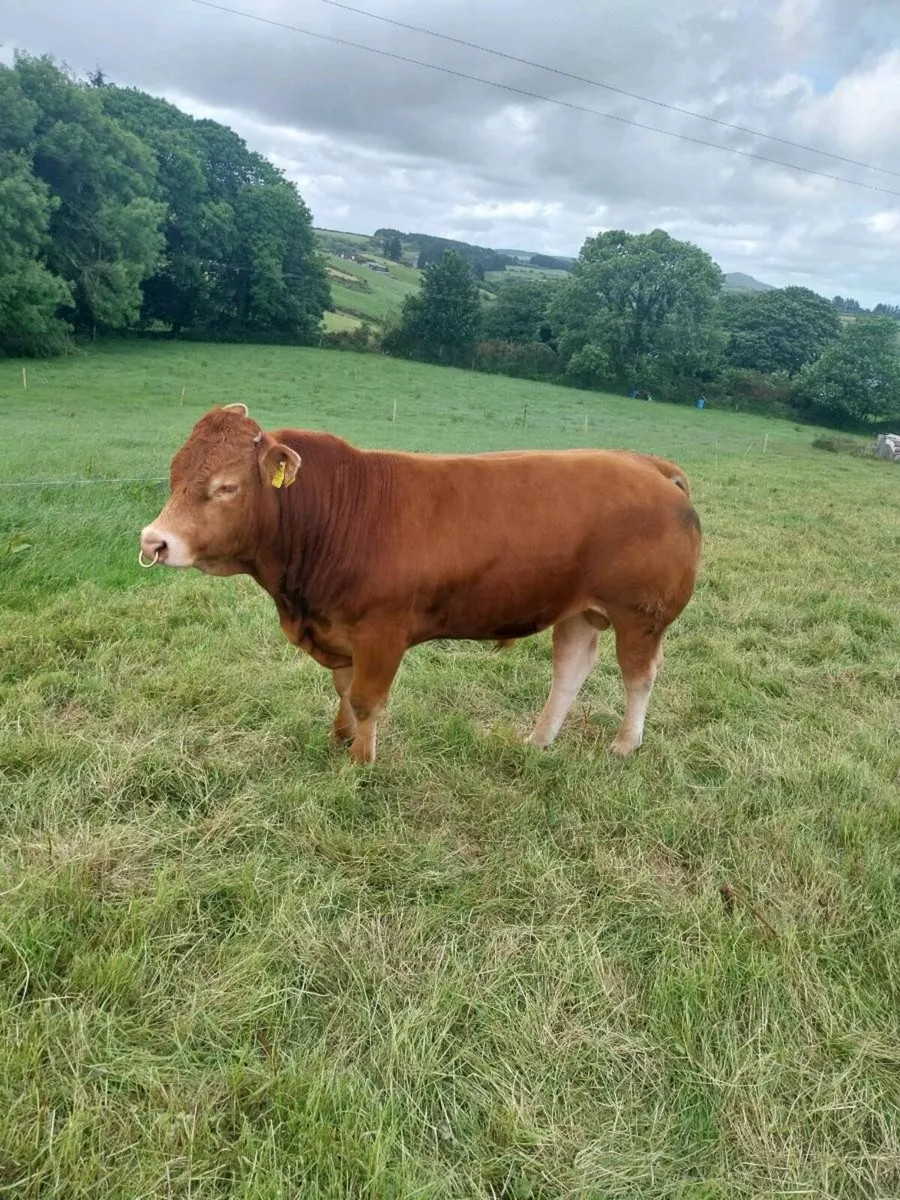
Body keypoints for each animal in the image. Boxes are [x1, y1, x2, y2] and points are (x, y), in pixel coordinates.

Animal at [140, 404, 701, 764]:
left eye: (226, 487)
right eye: (174, 473)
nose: (154, 541)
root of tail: (647, 464)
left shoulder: (381, 634)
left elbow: (366, 699)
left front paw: (361, 761)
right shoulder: (338, 632)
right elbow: (343, 689)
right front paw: (339, 739)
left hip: (640, 615)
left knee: (639, 676)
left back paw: (624, 745)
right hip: (579, 611)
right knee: (570, 670)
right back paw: (537, 742)